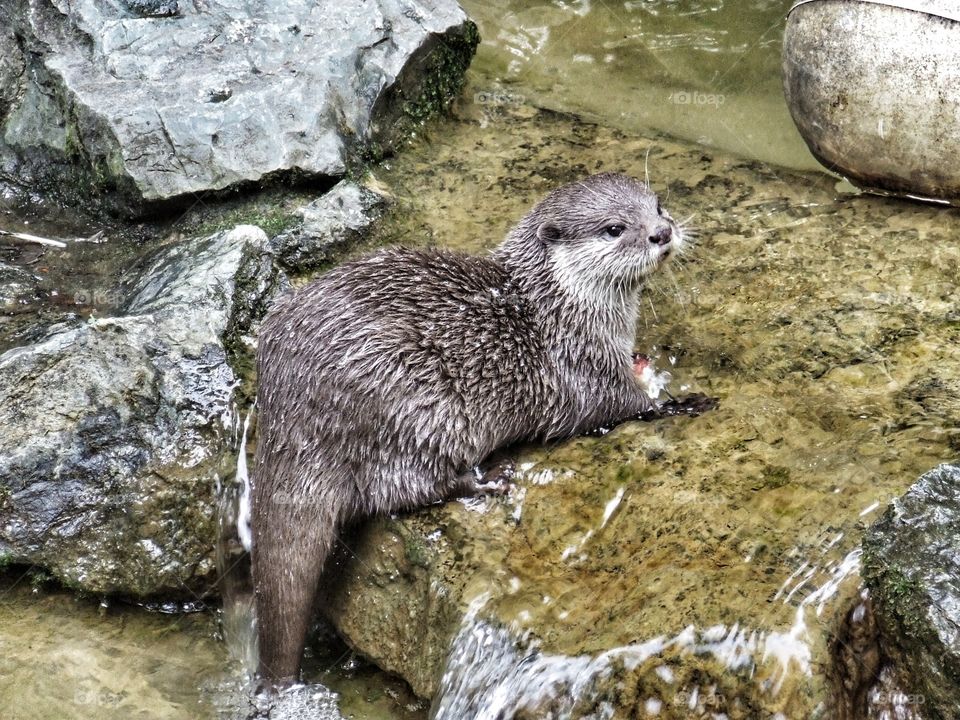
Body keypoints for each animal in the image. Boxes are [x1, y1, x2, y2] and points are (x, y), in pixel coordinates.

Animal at [252, 172, 687, 684]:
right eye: (615, 228)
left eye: (657, 205)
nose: (662, 232)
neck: (559, 307)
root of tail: (289, 404)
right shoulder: (578, 369)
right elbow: (617, 406)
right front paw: (682, 403)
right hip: (417, 406)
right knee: (401, 488)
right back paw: (487, 480)